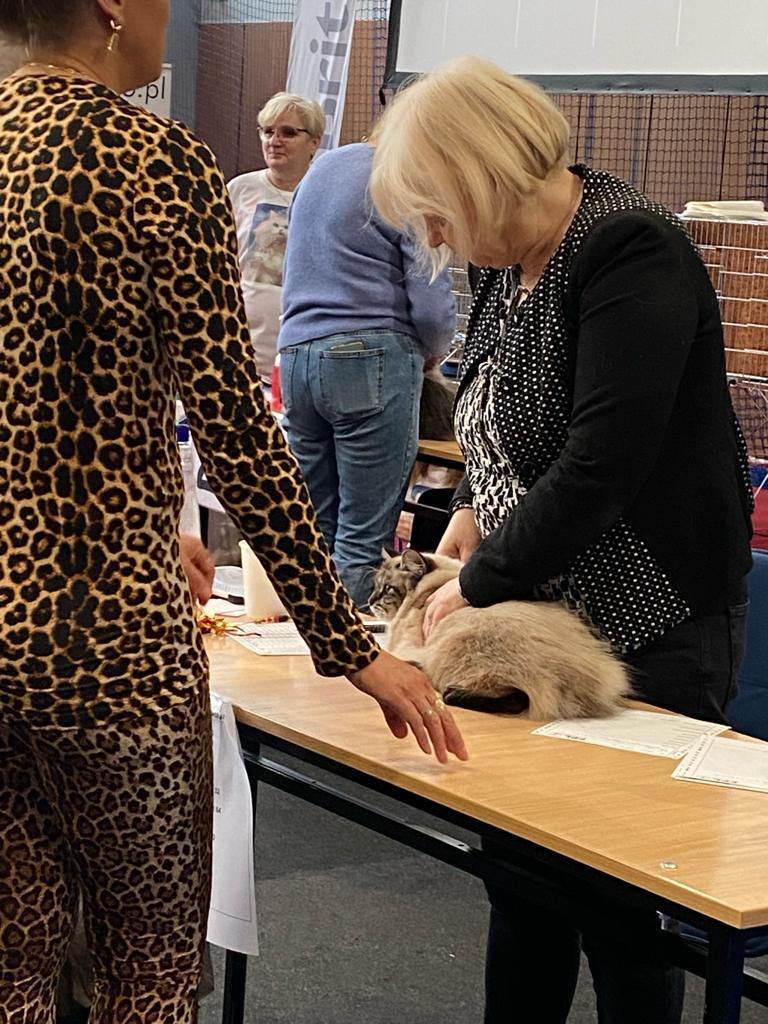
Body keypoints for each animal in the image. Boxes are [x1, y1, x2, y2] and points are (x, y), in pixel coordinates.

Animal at [370, 549, 631, 719]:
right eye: (376, 586)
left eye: (387, 589)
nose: (370, 601)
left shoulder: (407, 644)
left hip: (455, 648)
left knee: (517, 698)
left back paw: (451, 692)